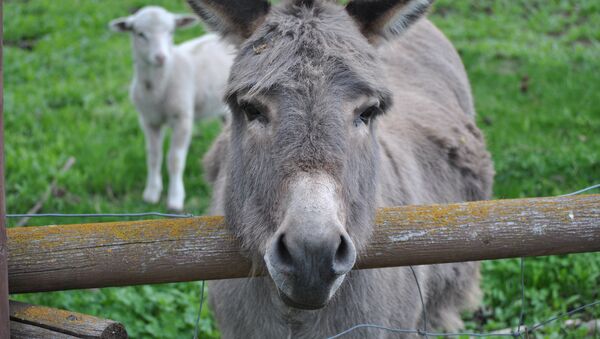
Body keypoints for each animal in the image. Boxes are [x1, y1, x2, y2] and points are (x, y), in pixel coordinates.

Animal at [110, 6, 234, 211]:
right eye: (140, 34)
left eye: (171, 32)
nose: (160, 57)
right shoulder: (148, 120)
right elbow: (153, 155)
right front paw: (151, 192)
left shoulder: (182, 118)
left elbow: (175, 159)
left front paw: (175, 199)